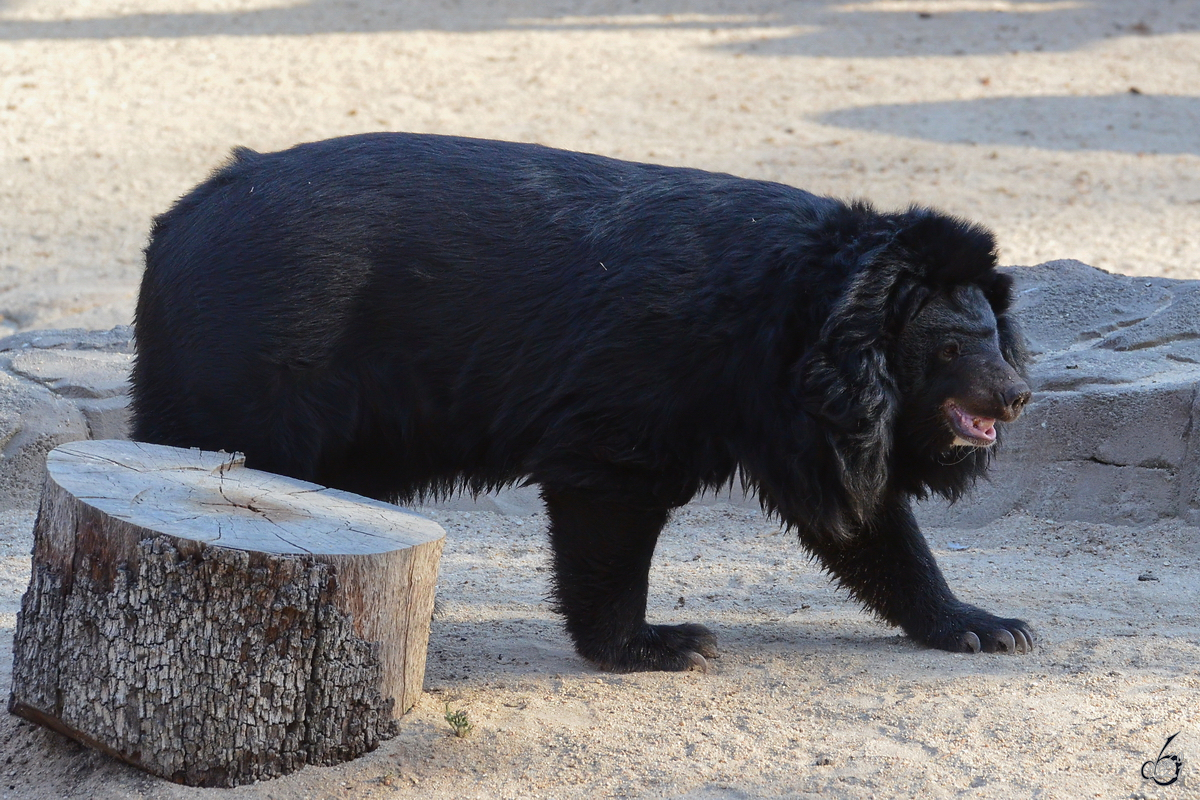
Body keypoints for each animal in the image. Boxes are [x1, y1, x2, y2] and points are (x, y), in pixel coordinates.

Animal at [129, 134, 1032, 671]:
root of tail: (175, 222)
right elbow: (609, 498)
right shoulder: (646, 379)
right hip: (247, 364)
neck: (812, 325)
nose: (1017, 397)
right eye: (950, 349)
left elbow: (867, 522)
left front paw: (987, 626)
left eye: (994, 335)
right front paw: (664, 644)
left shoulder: (796, 416)